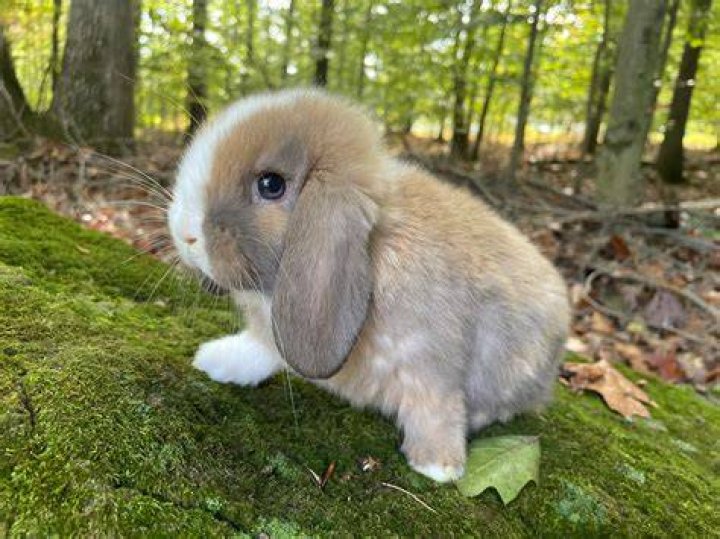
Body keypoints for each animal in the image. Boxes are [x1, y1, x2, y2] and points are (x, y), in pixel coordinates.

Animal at [168, 88, 569, 483]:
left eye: (271, 184)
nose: (184, 233)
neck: (374, 251)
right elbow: (261, 349)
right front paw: (216, 361)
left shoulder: (432, 363)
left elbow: (436, 408)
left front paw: (438, 465)